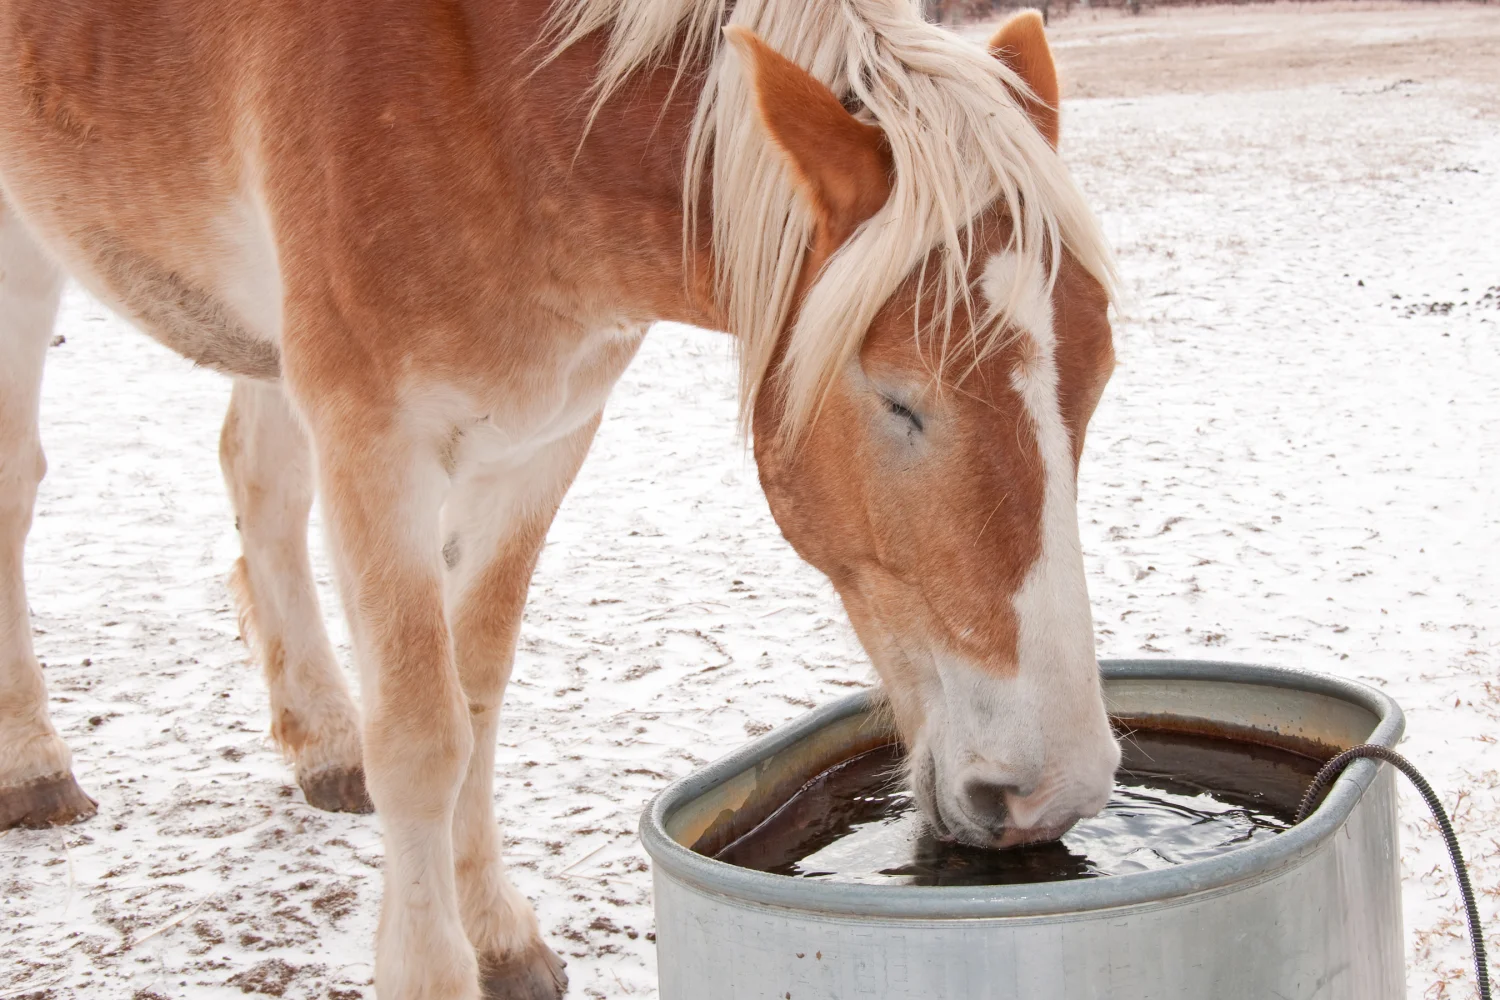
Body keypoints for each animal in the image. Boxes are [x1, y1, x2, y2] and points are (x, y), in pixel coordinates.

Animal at [0, 1, 1121, 996]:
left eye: (1099, 380)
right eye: (898, 399)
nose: (1052, 788)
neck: (503, 100)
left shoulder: (540, 444)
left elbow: (476, 699)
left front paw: (498, 939)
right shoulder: (375, 441)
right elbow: (422, 734)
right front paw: (431, 972)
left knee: (258, 484)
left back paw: (321, 741)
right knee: (21, 485)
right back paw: (32, 766)